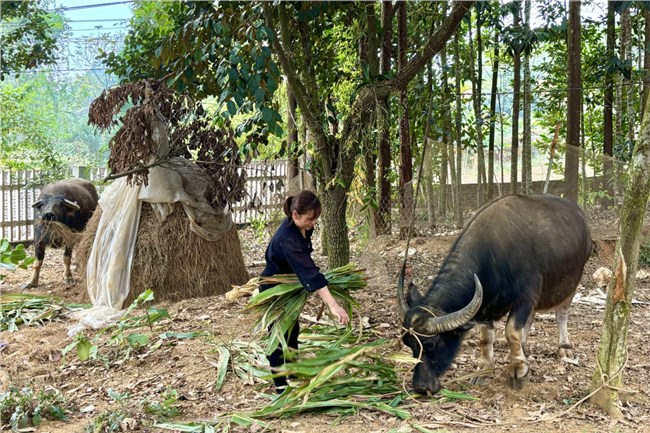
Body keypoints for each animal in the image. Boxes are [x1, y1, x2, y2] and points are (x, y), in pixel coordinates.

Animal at [398, 194, 588, 396]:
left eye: (431, 344)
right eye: (408, 343)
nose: (421, 387)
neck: (495, 257)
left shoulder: (524, 298)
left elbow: (512, 332)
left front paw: (518, 371)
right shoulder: (485, 306)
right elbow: (485, 339)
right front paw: (485, 370)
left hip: (571, 284)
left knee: (562, 314)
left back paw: (564, 348)